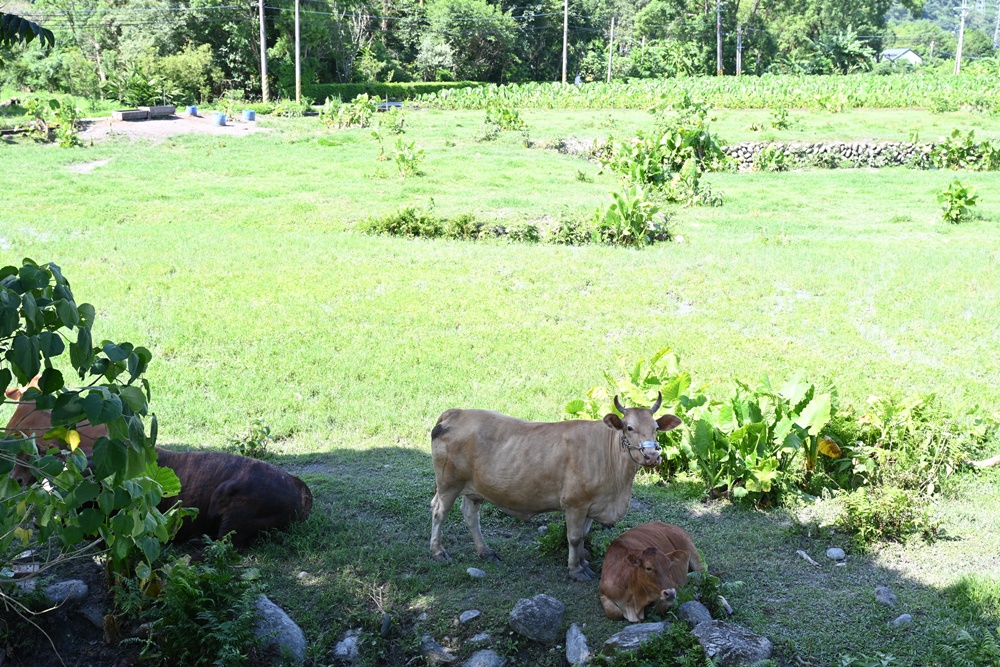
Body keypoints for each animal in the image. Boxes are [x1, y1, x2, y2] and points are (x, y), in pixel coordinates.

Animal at [430, 394, 680, 580]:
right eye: (629, 427)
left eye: (656, 428)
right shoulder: (575, 504)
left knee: (470, 515)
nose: (651, 455)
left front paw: (584, 562)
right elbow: (575, 537)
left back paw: (486, 552)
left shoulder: (591, 505)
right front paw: (576, 570)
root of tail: (456, 413)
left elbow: (584, 535)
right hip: (448, 484)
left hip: (474, 489)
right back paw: (438, 552)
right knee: (438, 512)